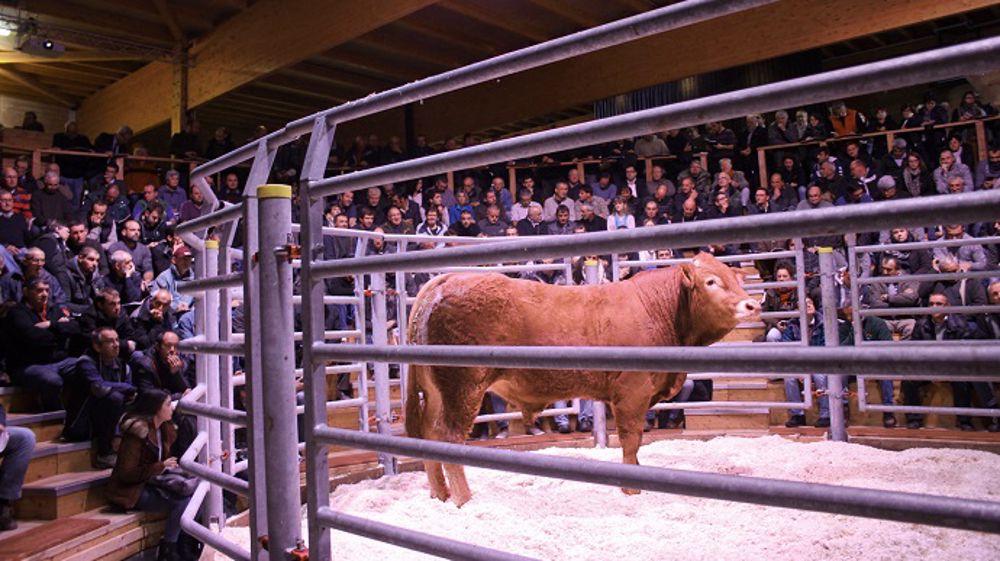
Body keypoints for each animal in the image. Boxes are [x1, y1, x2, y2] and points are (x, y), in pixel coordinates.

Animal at [404, 252, 760, 506]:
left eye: (735, 279)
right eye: (711, 281)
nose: (753, 304)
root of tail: (446, 279)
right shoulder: (632, 391)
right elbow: (631, 439)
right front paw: (632, 489)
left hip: (437, 389)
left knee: (429, 434)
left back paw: (440, 495)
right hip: (463, 385)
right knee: (450, 437)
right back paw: (465, 500)